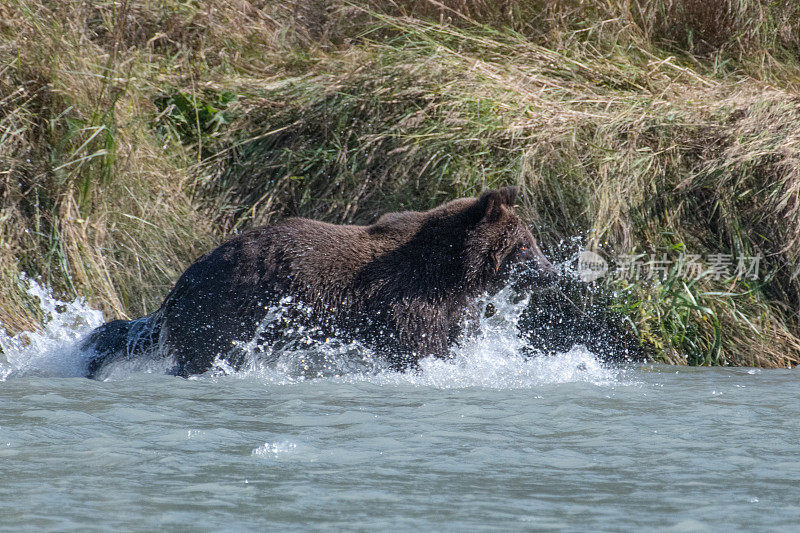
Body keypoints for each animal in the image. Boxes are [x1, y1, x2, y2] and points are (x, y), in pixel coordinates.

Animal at [83, 185, 556, 376]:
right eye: (525, 244)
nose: (551, 273)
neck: (452, 272)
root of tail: (183, 280)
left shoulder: (450, 308)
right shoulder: (408, 304)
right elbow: (420, 348)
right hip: (227, 310)